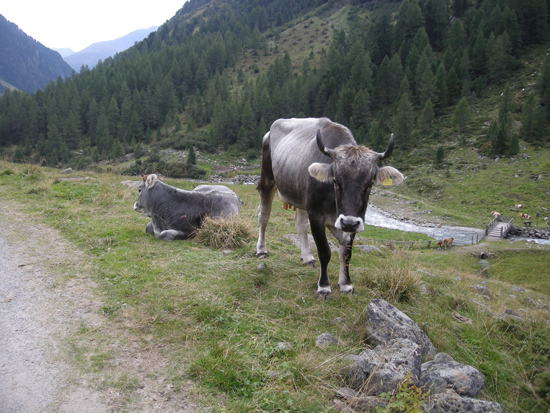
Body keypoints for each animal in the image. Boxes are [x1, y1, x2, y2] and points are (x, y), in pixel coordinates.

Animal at [256, 118, 406, 296]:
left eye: (369, 184)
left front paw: (346, 284)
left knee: (300, 225)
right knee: (264, 217)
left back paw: (307, 257)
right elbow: (324, 251)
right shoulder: (316, 214)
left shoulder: (350, 220)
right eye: (336, 181)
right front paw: (324, 286)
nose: (348, 223)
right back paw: (261, 250)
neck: (335, 205)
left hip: (301, 197)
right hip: (267, 180)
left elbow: (346, 253)